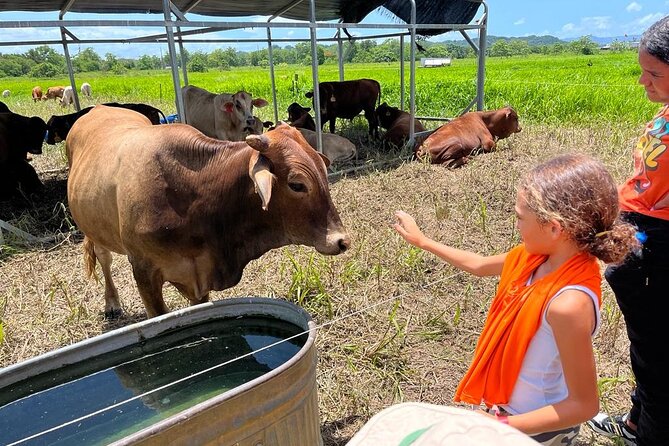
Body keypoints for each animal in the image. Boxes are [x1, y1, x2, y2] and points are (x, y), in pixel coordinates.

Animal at [66, 106, 350, 318]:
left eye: (323, 171)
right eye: (297, 184)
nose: (342, 241)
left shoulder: (199, 275)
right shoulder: (144, 273)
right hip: (92, 228)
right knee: (103, 257)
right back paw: (112, 304)